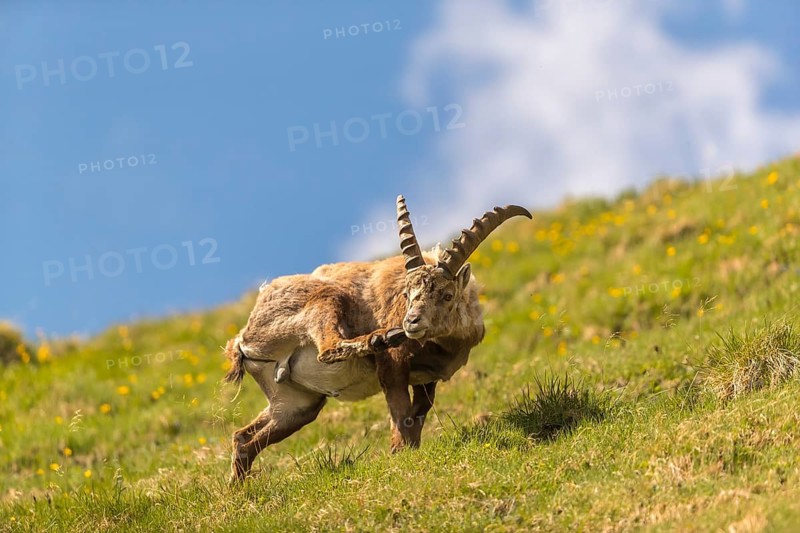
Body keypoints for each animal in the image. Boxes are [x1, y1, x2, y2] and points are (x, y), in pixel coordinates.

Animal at [224, 195, 531, 481]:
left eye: (447, 295)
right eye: (407, 294)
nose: (410, 322)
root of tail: (242, 337)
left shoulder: (426, 379)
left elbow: (418, 414)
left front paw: (410, 451)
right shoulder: (393, 366)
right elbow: (401, 414)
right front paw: (399, 454)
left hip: (297, 402)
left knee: (244, 439)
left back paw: (239, 490)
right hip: (324, 301)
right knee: (328, 348)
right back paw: (380, 337)